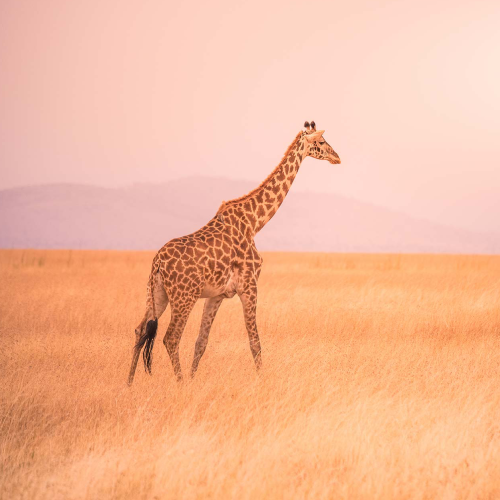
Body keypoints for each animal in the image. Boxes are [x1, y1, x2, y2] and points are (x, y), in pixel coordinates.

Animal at [127, 122, 342, 386]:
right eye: (321, 142)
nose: (337, 157)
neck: (255, 222)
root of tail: (157, 262)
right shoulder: (249, 285)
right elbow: (255, 342)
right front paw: (262, 381)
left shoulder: (217, 294)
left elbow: (201, 342)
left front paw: (195, 379)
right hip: (183, 296)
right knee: (171, 337)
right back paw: (180, 383)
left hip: (157, 293)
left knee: (140, 330)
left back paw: (129, 384)